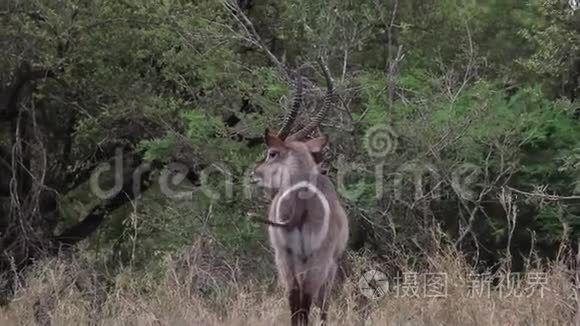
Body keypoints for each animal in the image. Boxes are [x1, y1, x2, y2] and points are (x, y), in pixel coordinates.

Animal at [249, 62, 348, 324]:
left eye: (272, 153)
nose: (254, 173)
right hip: (307, 261)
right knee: (304, 299)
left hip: (293, 260)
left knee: (301, 299)